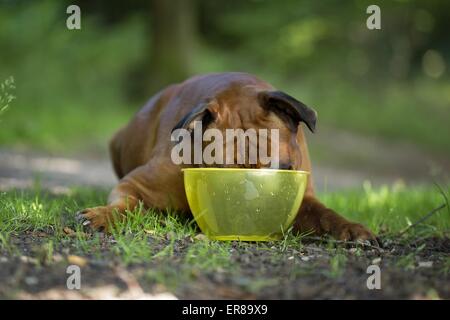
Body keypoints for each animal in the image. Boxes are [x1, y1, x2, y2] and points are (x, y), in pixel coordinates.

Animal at [77, 72, 376, 242]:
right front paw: (103, 215)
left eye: (281, 171)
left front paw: (352, 229)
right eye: (222, 178)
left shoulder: (303, 198)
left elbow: (325, 215)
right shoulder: (136, 185)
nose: (253, 206)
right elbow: (126, 204)